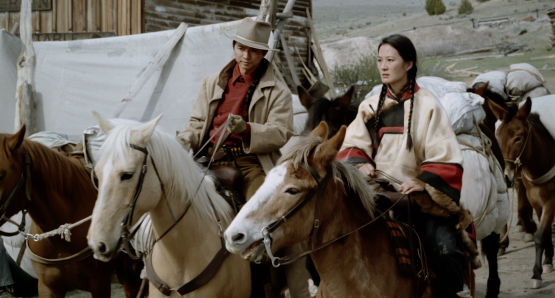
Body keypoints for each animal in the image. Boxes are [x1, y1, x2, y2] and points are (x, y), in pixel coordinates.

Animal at [490, 98, 555, 288]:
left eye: (518, 138)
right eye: (497, 136)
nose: (505, 176)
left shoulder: (551, 200)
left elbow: (540, 235)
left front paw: (536, 274)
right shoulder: (536, 200)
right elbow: (545, 233)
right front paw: (547, 262)